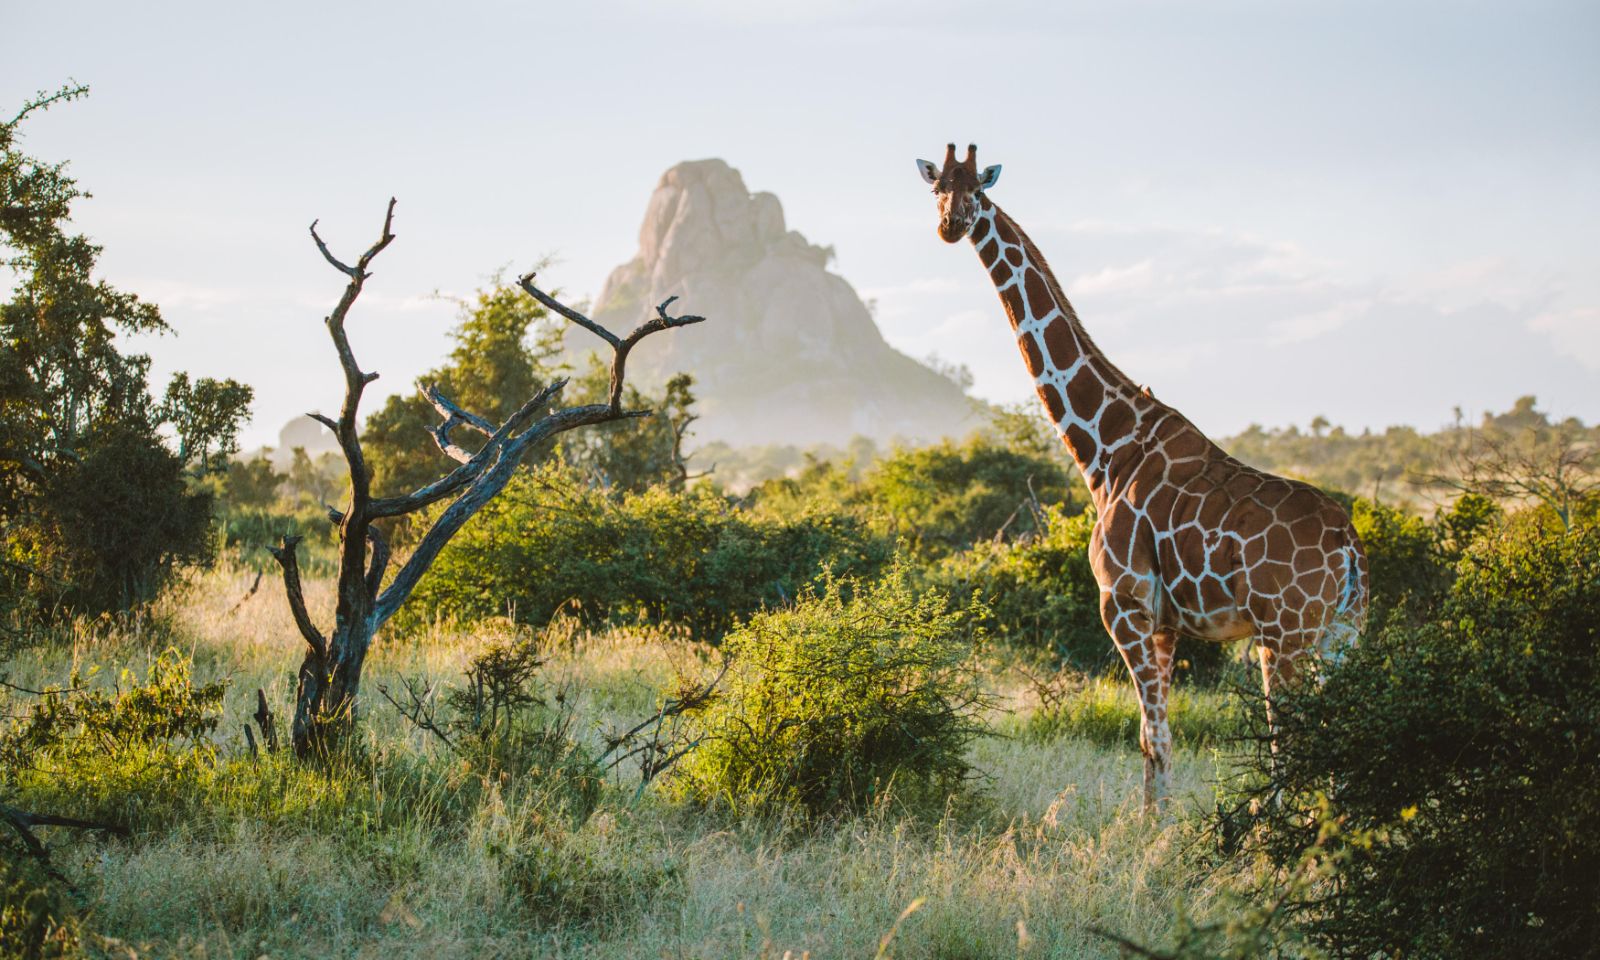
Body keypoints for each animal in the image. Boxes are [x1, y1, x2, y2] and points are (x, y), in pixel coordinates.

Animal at [916, 144, 1369, 810]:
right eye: (938, 188)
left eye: (978, 190)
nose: (951, 225)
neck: (1106, 446)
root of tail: (1348, 545)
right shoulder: (1166, 622)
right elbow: (1151, 737)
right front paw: (1157, 820)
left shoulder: (1123, 602)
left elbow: (1153, 734)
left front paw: (1148, 829)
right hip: (1342, 633)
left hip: (1284, 632)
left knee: (1292, 737)